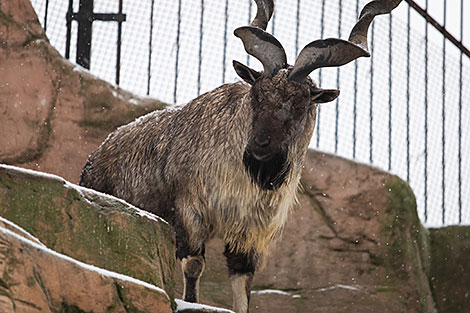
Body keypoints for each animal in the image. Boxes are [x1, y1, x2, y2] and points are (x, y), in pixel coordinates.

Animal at [79, 1, 402, 310]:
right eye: (257, 94)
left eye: (300, 103)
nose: (260, 145)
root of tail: (93, 159)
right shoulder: (190, 212)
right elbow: (193, 265)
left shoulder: (250, 233)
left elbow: (242, 279)